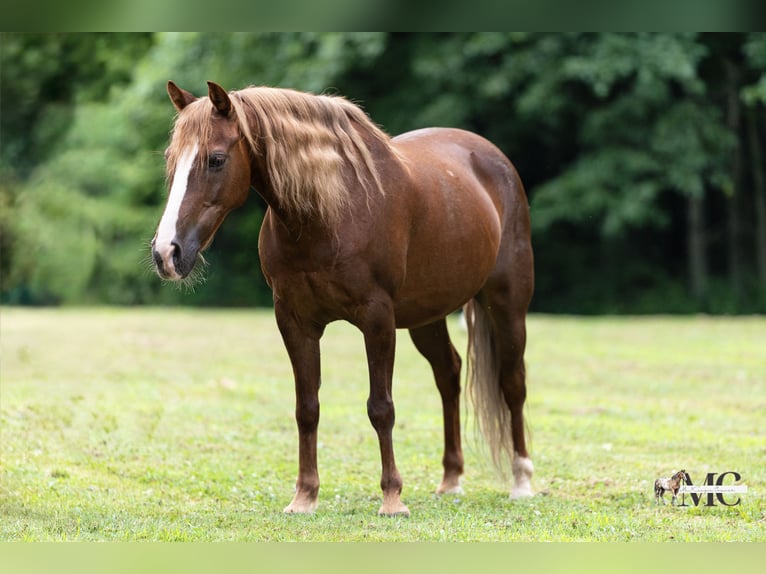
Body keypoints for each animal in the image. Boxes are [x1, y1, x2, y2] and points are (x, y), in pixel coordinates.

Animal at [151, 81, 535, 516]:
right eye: (171, 159)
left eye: (215, 159)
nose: (166, 253)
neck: (327, 215)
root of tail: (491, 157)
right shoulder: (294, 321)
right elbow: (307, 408)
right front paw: (304, 497)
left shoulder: (378, 319)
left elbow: (381, 407)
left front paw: (392, 498)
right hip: (426, 317)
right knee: (448, 374)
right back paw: (451, 479)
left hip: (506, 302)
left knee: (512, 382)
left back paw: (522, 480)